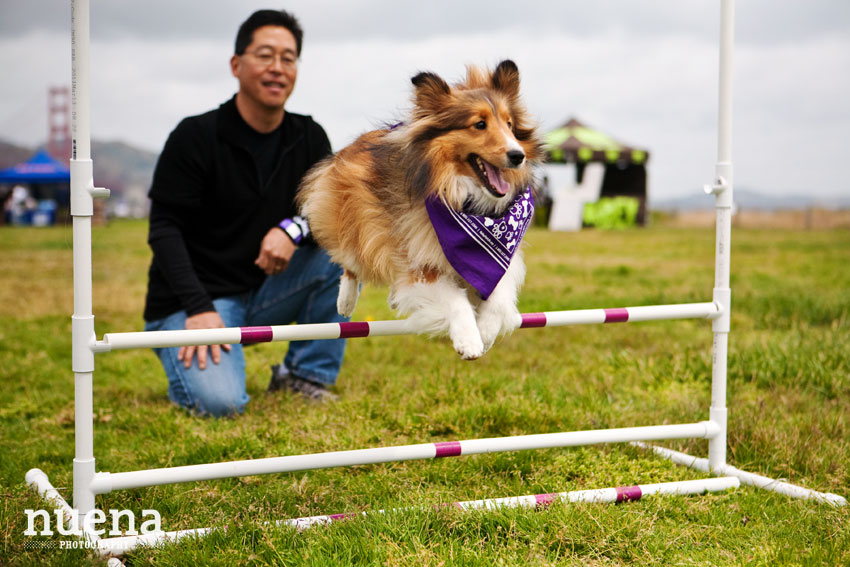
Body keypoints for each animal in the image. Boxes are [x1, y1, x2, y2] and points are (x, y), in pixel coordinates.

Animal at [294, 61, 540, 360]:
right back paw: (346, 301)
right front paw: (469, 340)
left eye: (510, 125)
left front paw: (486, 332)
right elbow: (456, 300)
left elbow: (498, 296)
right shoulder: (422, 260)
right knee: (350, 263)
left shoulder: (500, 261)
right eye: (479, 124)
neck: (461, 197)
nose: (518, 156)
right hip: (356, 225)